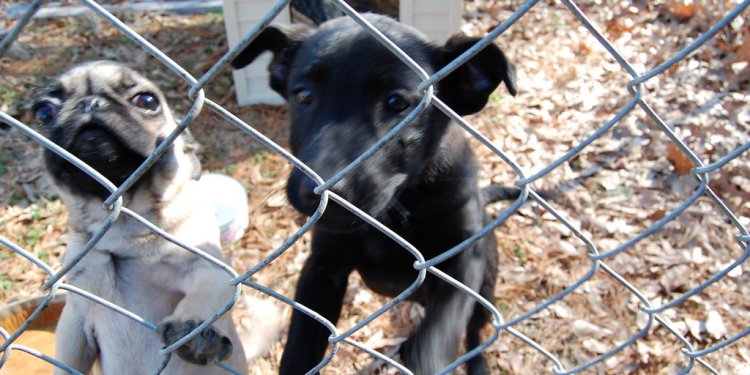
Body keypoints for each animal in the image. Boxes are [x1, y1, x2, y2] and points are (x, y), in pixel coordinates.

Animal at [31, 60, 247, 374]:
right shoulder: (75, 317)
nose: (89, 103)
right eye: (43, 113)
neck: (126, 225)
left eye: (147, 101)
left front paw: (192, 328)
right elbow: (67, 360)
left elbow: (205, 292)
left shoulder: (207, 268)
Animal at [235, 13, 516, 374]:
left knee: (476, 330)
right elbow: (302, 339)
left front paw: (426, 358)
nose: (320, 192)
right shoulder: (323, 264)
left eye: (397, 102)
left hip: (487, 286)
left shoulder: (464, 260)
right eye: (303, 95)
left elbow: (438, 333)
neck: (397, 209)